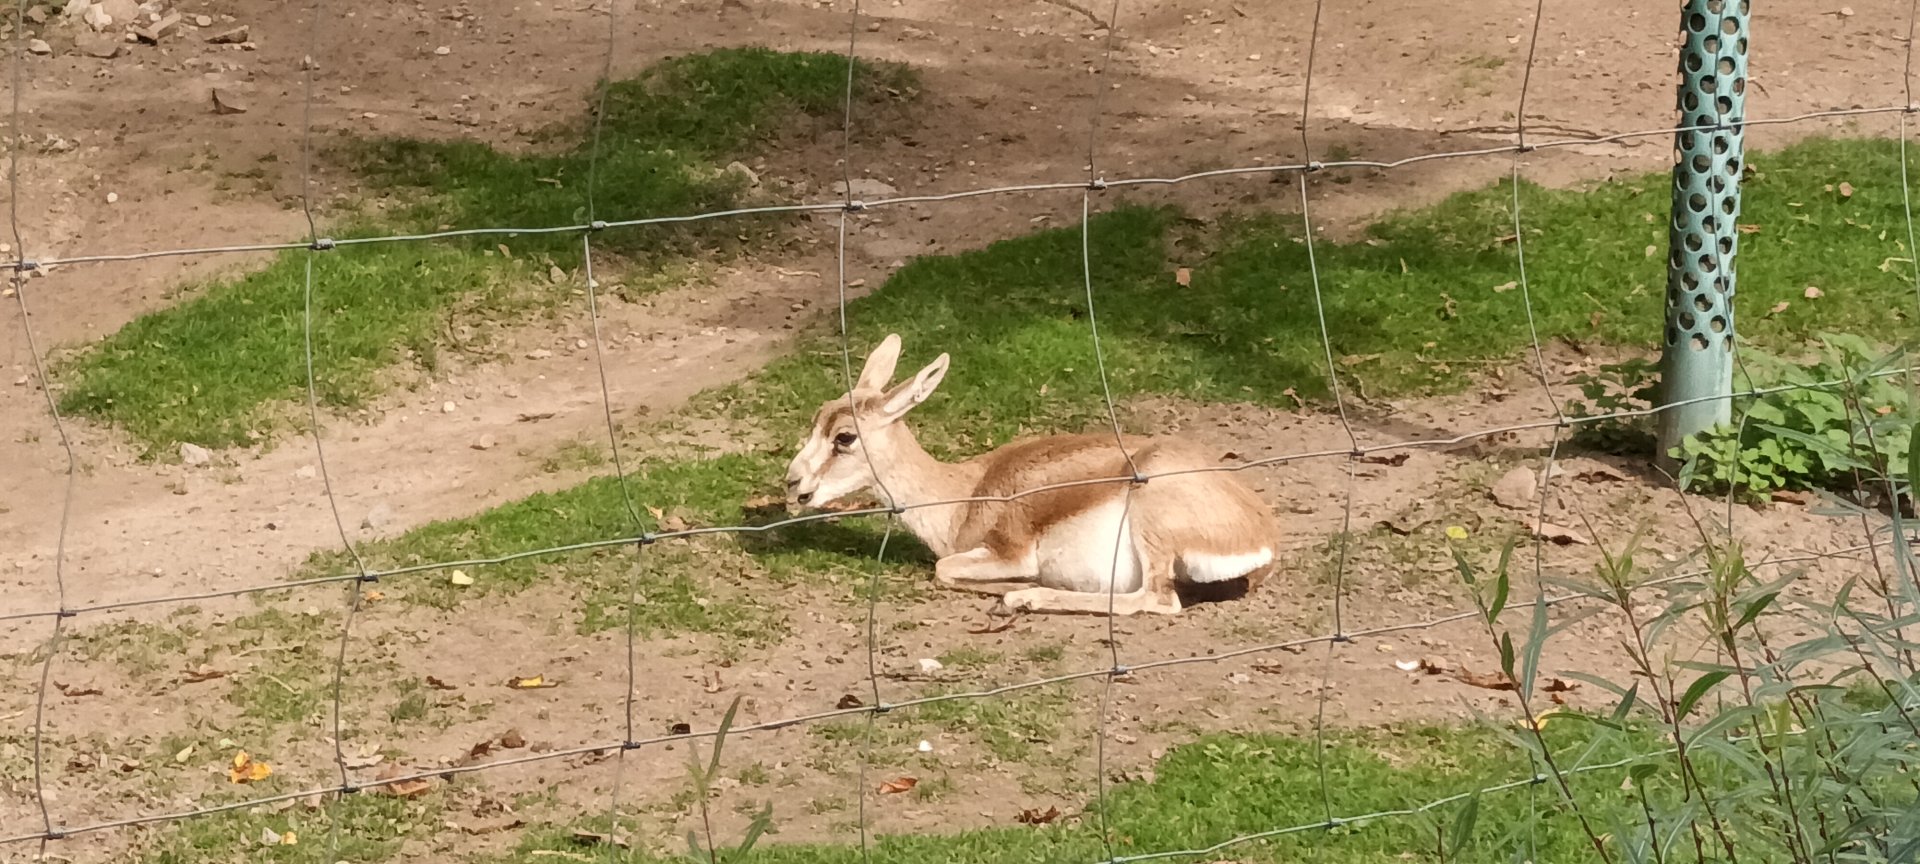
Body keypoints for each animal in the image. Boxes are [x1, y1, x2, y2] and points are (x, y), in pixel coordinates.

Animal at [782, 333, 1282, 616]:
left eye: (844, 437)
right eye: (817, 417)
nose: (792, 484)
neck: (964, 496)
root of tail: (1263, 535)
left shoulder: (1011, 550)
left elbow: (944, 568)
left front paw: (1017, 587)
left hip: (1151, 520)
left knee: (1157, 600)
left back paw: (1028, 597)